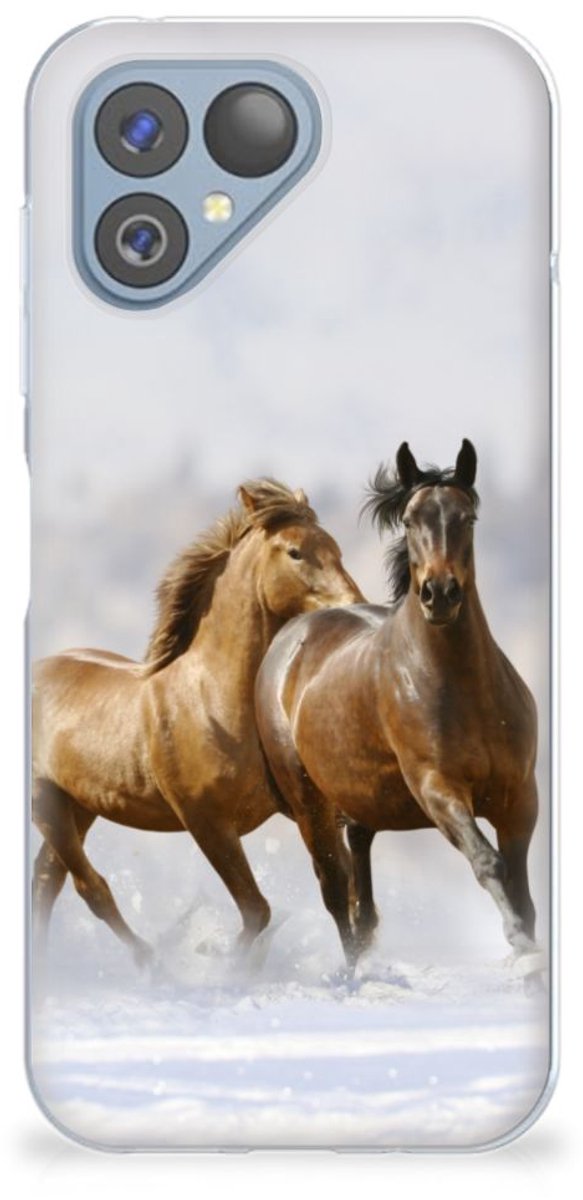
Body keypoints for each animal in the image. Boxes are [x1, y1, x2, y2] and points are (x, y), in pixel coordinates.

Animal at [32, 479, 363, 966]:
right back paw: (150, 962)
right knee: (88, 887)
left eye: (336, 547)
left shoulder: (305, 808)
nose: (355, 606)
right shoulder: (205, 821)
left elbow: (338, 886)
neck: (213, 702)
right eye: (295, 552)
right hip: (47, 802)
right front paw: (223, 964)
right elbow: (257, 910)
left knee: (46, 879)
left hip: (79, 804)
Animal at [255, 441, 539, 970]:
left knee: (361, 898)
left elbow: (522, 890)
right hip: (310, 805)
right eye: (409, 520)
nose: (439, 594)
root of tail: (289, 637)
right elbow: (489, 863)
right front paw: (521, 947)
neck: (464, 690)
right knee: (335, 892)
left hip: (359, 803)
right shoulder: (438, 789)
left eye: (467, 517)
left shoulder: (520, 797)